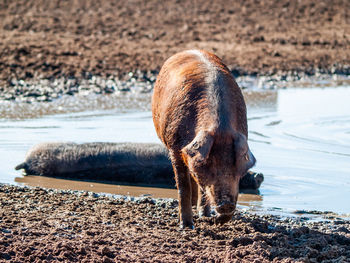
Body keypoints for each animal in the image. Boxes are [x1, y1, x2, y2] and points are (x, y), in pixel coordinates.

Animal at [152, 49, 256, 229]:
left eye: (235, 163)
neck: (221, 128)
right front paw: (186, 226)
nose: (226, 204)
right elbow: (183, 186)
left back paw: (203, 213)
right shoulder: (175, 147)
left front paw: (213, 219)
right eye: (208, 162)